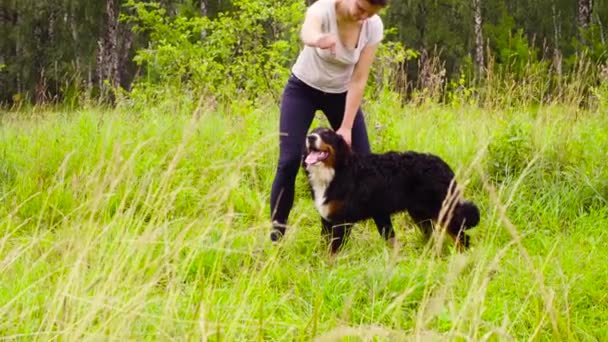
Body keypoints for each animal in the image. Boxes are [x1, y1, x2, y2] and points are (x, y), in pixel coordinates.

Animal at [302, 126, 480, 254]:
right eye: (312, 132)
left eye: (326, 133)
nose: (310, 138)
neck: (334, 172)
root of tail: (443, 164)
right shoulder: (327, 220)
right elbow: (324, 246)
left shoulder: (341, 221)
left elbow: (332, 252)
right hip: (420, 214)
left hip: (442, 209)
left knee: (462, 237)